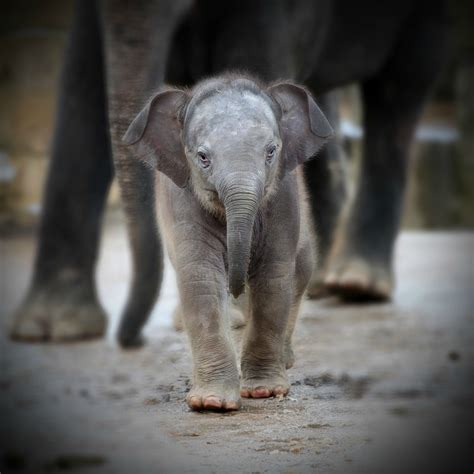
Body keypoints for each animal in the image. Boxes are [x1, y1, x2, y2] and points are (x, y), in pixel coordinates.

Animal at [11, 0, 448, 344]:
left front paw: (235, 315)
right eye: (200, 156)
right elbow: (82, 82)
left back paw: (357, 284)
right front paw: (52, 329)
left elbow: (251, 64)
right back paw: (324, 283)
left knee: (398, 92)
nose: (130, 339)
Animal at [124, 73, 334, 408]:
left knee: (300, 273)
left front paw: (264, 391)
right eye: (203, 157)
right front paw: (211, 403)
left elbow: (273, 278)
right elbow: (200, 276)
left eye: (271, 151)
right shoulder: (181, 199)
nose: (235, 284)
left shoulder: (285, 198)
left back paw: (285, 361)